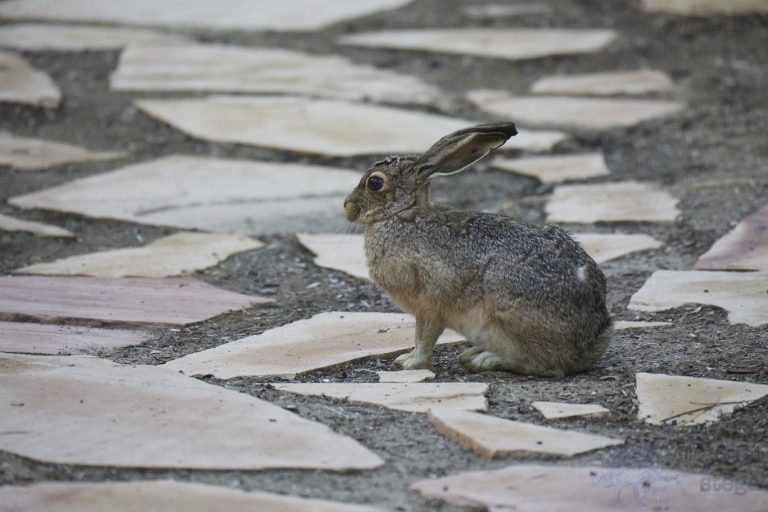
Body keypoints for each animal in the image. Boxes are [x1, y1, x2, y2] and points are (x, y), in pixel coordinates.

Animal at [343, 122, 612, 377]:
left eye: (374, 182)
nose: (347, 207)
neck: (402, 213)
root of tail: (591, 340)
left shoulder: (429, 303)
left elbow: (425, 337)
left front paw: (410, 363)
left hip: (507, 314)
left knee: (547, 365)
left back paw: (484, 360)